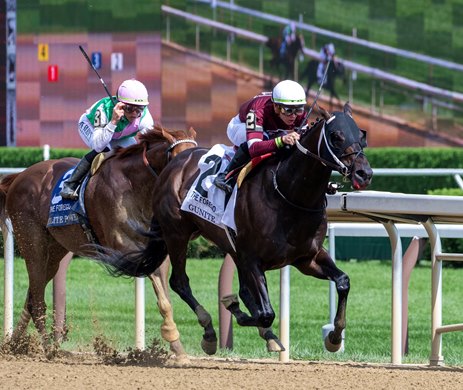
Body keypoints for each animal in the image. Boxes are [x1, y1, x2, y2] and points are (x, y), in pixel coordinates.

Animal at [0, 125, 198, 360]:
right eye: (179, 161)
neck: (135, 185)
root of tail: (19, 177)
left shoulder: (154, 249)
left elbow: (165, 298)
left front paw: (178, 347)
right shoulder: (124, 247)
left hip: (55, 249)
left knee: (33, 294)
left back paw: (14, 345)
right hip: (32, 241)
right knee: (37, 300)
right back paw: (48, 349)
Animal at [97, 102, 374, 354]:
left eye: (361, 135)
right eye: (336, 136)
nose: (364, 173)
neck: (290, 194)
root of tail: (174, 164)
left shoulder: (307, 257)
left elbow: (343, 281)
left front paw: (334, 338)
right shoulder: (253, 259)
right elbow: (265, 313)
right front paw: (234, 309)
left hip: (225, 244)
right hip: (177, 233)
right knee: (179, 282)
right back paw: (210, 333)